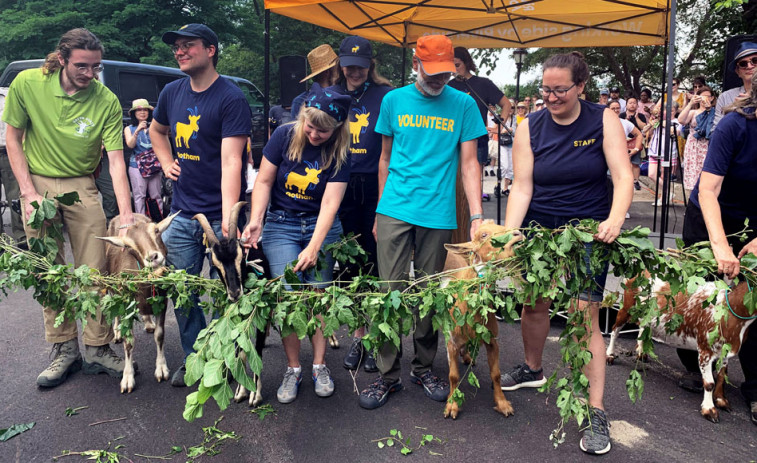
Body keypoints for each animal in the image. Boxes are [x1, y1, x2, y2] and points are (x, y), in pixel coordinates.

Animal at [96, 212, 178, 394]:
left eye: (156, 230)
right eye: (128, 245)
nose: (153, 258)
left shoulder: (162, 302)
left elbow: (160, 335)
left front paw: (161, 369)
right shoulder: (127, 304)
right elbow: (129, 342)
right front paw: (127, 378)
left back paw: (148, 323)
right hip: (111, 284)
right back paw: (117, 332)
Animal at [192, 201, 268, 408]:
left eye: (241, 259)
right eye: (216, 266)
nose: (235, 293)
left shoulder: (262, 315)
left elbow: (257, 351)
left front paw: (255, 396)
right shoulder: (242, 319)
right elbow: (241, 352)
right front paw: (241, 391)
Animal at [440, 221, 524, 420]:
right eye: (484, 235)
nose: (518, 234)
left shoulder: (492, 340)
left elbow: (496, 374)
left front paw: (503, 404)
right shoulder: (452, 340)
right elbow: (453, 375)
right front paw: (452, 405)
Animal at [608, 276, 756, 424]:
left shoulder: (724, 351)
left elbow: (721, 376)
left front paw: (721, 400)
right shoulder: (705, 350)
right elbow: (709, 383)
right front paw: (709, 410)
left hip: (646, 315)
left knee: (643, 327)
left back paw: (641, 352)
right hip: (627, 307)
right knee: (615, 330)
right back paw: (610, 355)